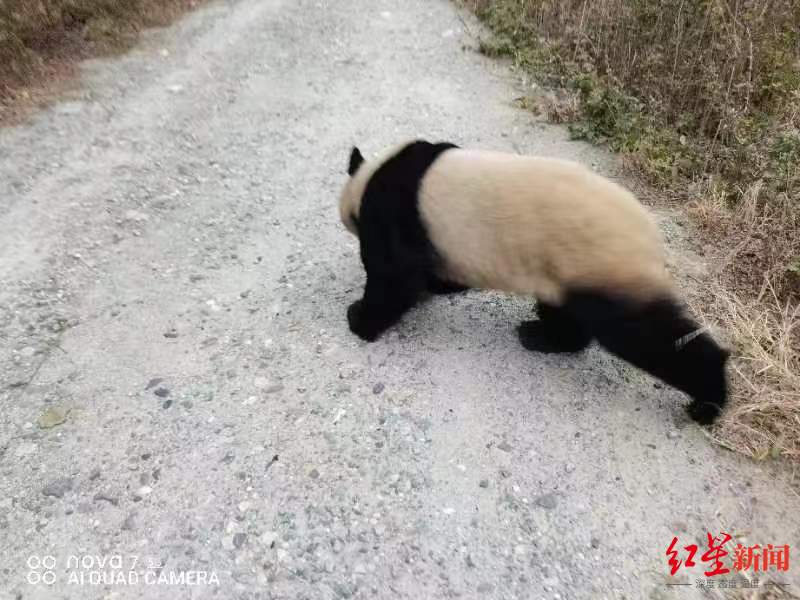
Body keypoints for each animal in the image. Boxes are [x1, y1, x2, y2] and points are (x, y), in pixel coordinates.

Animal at [338, 138, 732, 424]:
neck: (372, 175)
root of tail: (653, 240)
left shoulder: (395, 213)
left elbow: (394, 274)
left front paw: (359, 318)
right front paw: (442, 286)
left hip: (600, 263)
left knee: (642, 332)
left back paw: (708, 401)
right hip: (562, 270)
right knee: (569, 315)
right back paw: (540, 335)